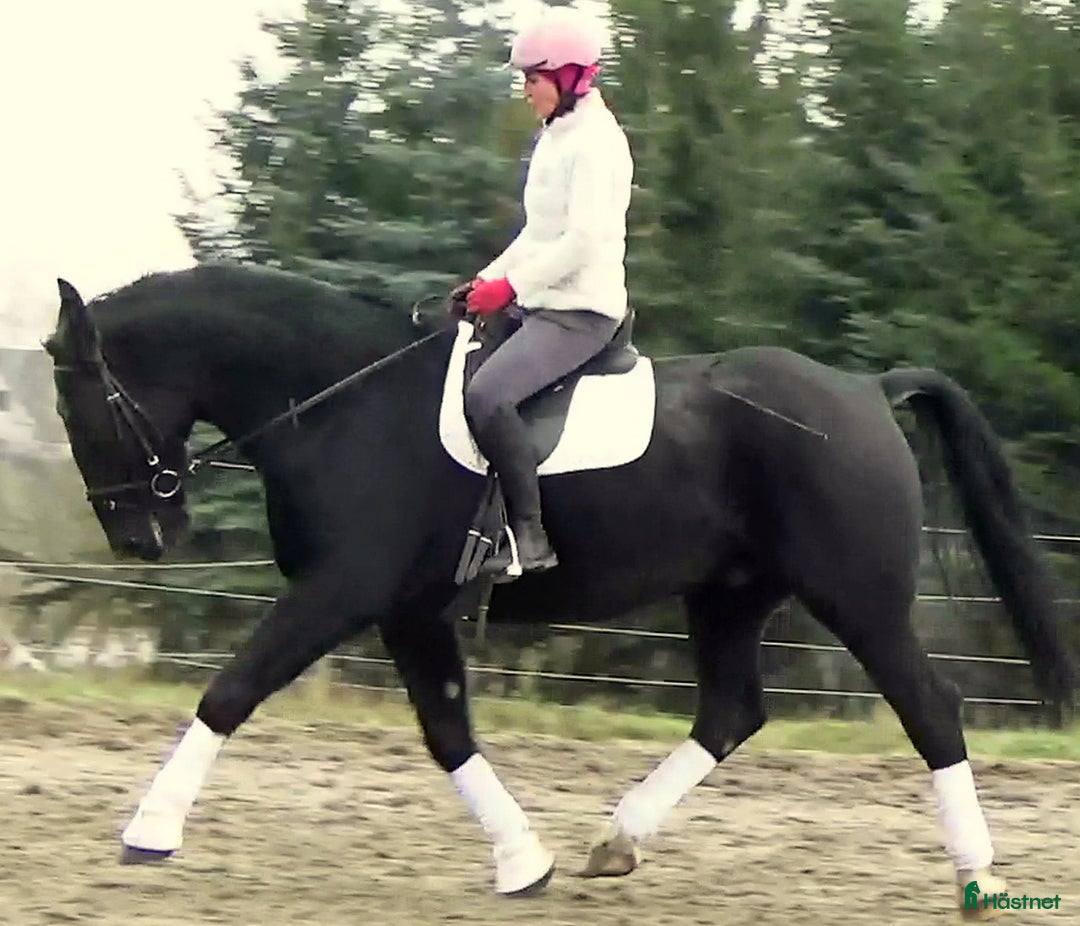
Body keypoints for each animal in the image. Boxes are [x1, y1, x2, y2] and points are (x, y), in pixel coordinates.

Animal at [44, 263, 1075, 919]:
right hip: (729, 595)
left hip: (859, 597)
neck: (340, 407)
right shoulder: (410, 612)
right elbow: (447, 733)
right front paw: (523, 863)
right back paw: (616, 843)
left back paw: (979, 880)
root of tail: (866, 390)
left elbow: (231, 691)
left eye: (83, 406)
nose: (140, 538)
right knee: (732, 713)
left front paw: (149, 830)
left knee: (931, 711)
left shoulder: (343, 592)